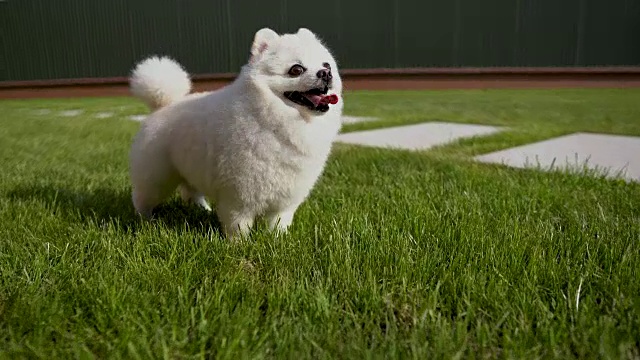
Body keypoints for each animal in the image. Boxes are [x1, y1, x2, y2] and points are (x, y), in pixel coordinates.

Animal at [127, 28, 342, 239]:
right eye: (296, 69)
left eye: (327, 64)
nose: (326, 73)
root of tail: (163, 105)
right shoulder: (238, 197)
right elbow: (238, 225)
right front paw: (239, 244)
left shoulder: (285, 198)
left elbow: (279, 223)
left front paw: (279, 240)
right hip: (157, 177)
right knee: (142, 198)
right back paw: (146, 221)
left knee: (191, 191)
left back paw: (202, 209)